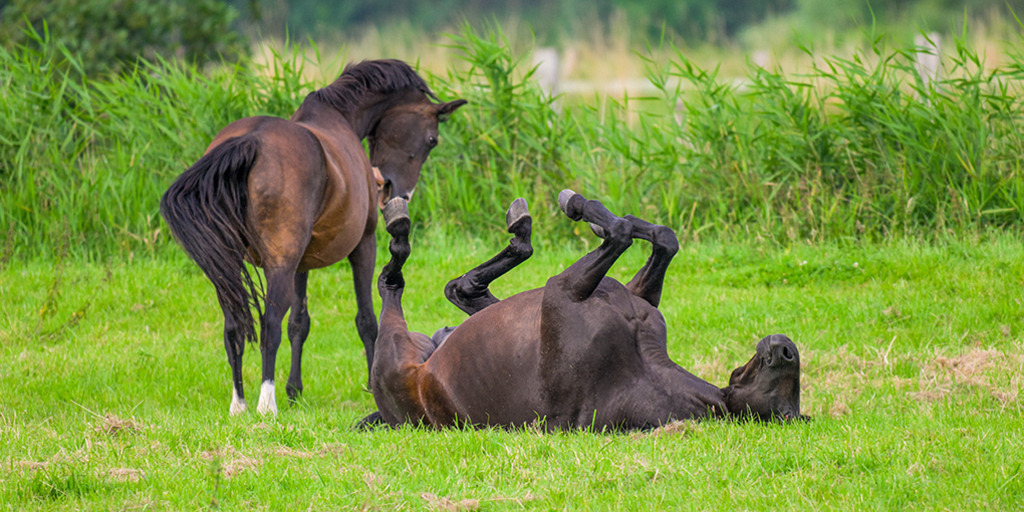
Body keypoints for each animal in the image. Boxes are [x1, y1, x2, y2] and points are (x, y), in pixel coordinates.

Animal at [160, 59, 466, 415]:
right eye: (432, 139)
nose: (400, 192)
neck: (339, 119)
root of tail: (250, 142)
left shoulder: (301, 265)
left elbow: (299, 324)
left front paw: (295, 390)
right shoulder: (364, 246)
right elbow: (366, 320)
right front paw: (370, 384)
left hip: (230, 268)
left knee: (234, 325)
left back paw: (240, 404)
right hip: (279, 265)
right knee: (270, 324)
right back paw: (266, 404)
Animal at [368, 191, 804, 430]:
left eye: (787, 410)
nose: (786, 348)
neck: (645, 363)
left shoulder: (562, 290)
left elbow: (621, 233)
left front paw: (579, 206)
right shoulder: (638, 296)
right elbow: (662, 238)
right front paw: (617, 221)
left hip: (394, 353)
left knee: (393, 283)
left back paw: (400, 226)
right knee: (464, 289)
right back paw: (517, 230)